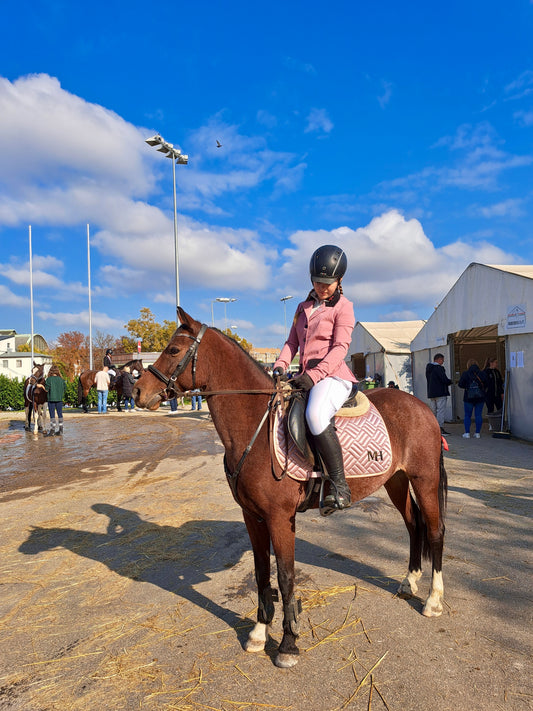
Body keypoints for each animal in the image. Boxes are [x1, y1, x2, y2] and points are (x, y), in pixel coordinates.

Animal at [133, 310, 444, 668]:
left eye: (172, 350)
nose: (137, 391)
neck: (254, 429)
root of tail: (420, 405)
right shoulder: (252, 516)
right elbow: (261, 573)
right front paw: (258, 633)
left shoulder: (280, 518)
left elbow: (285, 576)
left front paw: (288, 644)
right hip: (396, 480)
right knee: (413, 525)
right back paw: (409, 582)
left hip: (424, 480)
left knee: (434, 530)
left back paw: (433, 600)